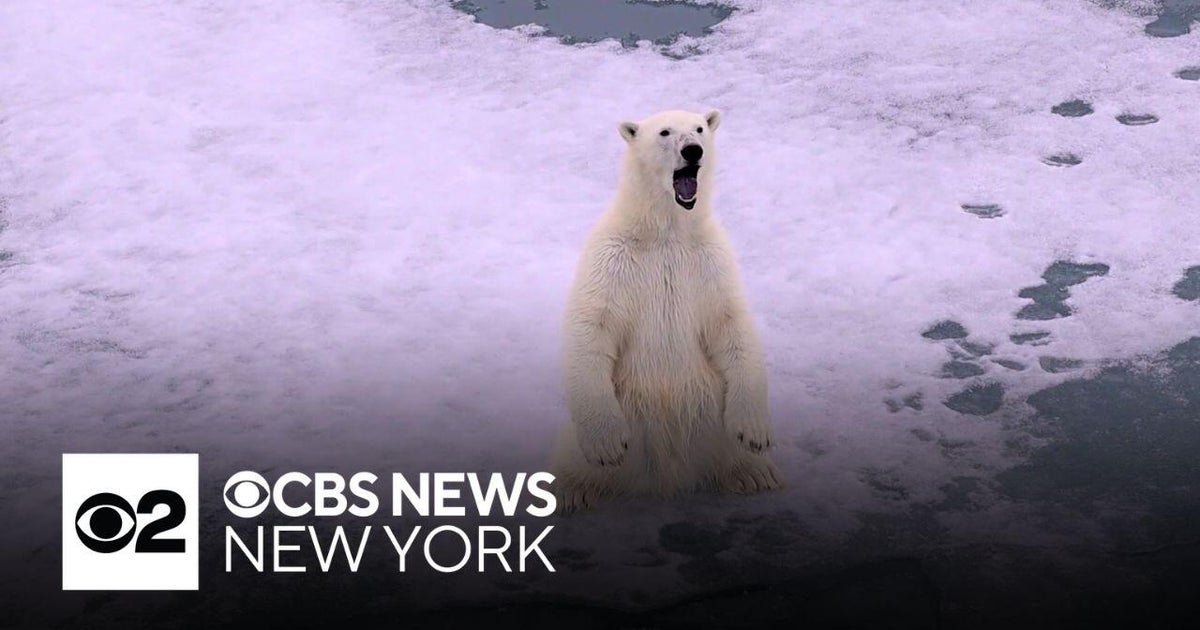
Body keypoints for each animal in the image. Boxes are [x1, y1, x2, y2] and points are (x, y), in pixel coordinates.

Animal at [552, 109, 781, 514]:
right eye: (664, 132)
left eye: (700, 128)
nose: (693, 150)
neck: (665, 233)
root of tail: (667, 473)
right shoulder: (611, 258)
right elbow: (592, 324)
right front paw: (607, 445)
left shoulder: (710, 259)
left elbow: (730, 323)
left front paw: (754, 433)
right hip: (629, 408)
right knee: (573, 456)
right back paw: (567, 491)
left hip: (710, 408)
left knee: (728, 447)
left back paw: (757, 473)